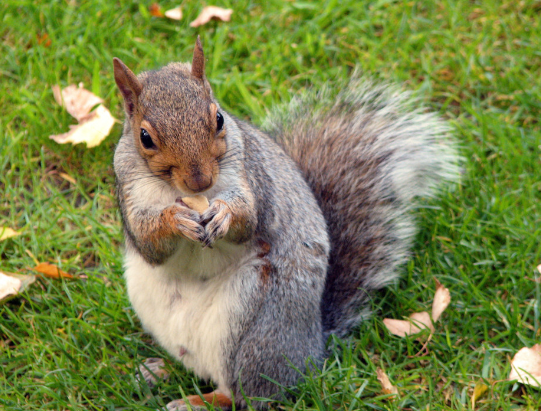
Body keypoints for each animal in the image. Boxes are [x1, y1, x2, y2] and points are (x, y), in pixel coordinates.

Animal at [112, 37, 458, 410]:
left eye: (219, 118)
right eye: (145, 137)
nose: (199, 180)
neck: (184, 193)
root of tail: (313, 350)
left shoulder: (252, 176)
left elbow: (249, 219)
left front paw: (224, 214)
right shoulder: (130, 194)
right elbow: (149, 243)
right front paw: (175, 218)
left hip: (257, 323)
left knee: (240, 392)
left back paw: (196, 400)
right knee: (193, 363)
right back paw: (157, 370)